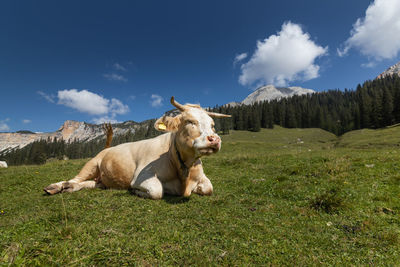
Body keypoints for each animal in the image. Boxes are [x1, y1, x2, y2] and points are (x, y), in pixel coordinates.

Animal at [43, 97, 231, 200]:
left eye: (213, 125)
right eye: (189, 121)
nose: (214, 139)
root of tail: (107, 149)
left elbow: (209, 189)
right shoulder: (142, 176)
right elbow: (157, 191)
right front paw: (136, 191)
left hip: (102, 179)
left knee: (88, 184)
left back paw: (69, 188)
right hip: (92, 163)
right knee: (76, 178)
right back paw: (57, 186)